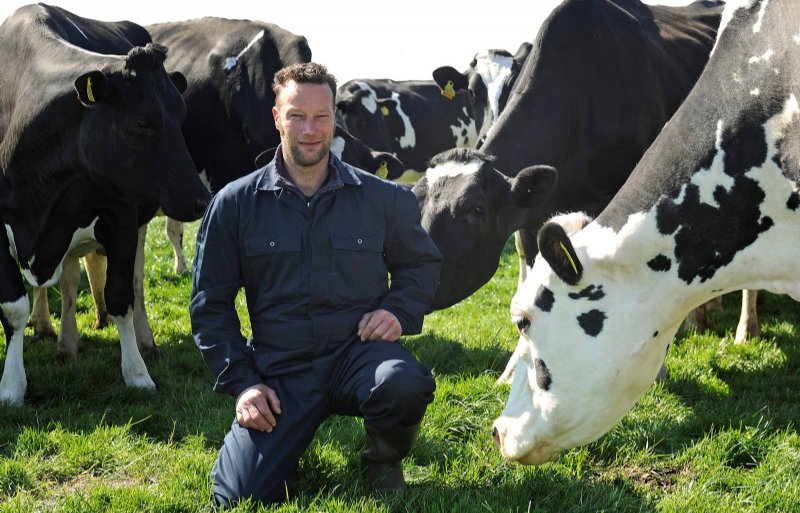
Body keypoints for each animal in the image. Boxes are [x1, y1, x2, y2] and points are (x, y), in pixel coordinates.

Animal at [0, 3, 209, 404]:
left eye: (182, 115)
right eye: (143, 122)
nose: (202, 199)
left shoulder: (122, 217)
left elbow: (121, 296)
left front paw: (137, 374)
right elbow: (13, 307)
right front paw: (12, 385)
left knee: (132, 283)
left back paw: (142, 342)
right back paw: (63, 339)